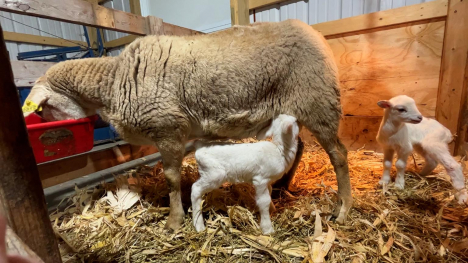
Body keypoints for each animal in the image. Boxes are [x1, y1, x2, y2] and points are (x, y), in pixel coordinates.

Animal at [22, 19, 352, 231]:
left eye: (44, 108)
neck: (114, 81)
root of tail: (316, 34)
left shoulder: (167, 127)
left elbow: (170, 177)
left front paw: (174, 220)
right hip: (291, 110)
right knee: (299, 145)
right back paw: (283, 186)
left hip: (319, 101)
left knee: (338, 155)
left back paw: (343, 209)